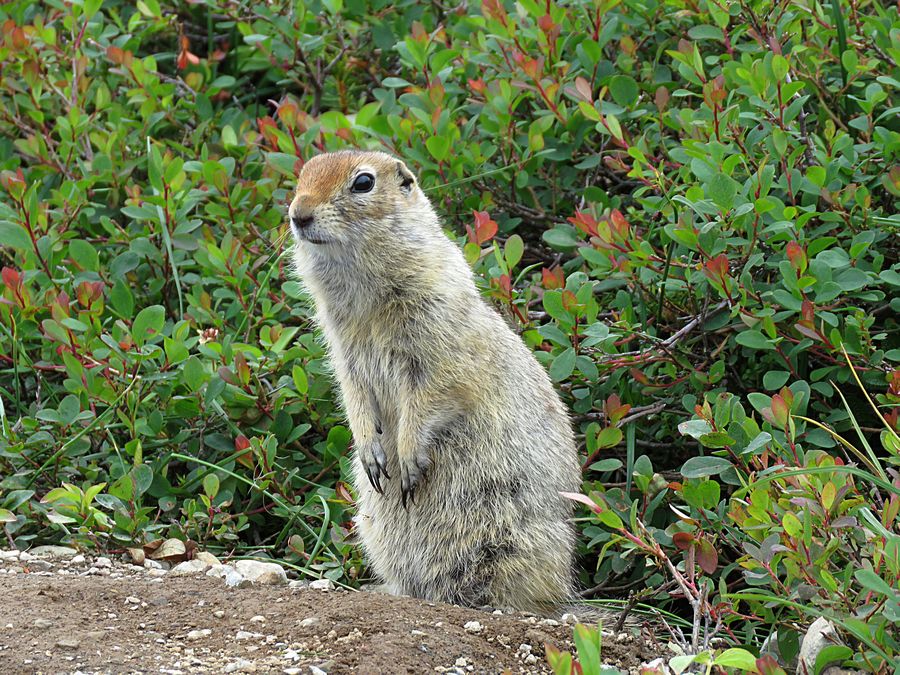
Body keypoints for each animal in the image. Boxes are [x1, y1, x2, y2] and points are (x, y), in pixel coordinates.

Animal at [290, 151, 584, 616]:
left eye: (363, 182)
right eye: (302, 175)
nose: (298, 214)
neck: (365, 295)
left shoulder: (435, 344)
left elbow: (431, 396)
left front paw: (408, 460)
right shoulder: (345, 353)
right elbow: (354, 395)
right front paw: (372, 455)